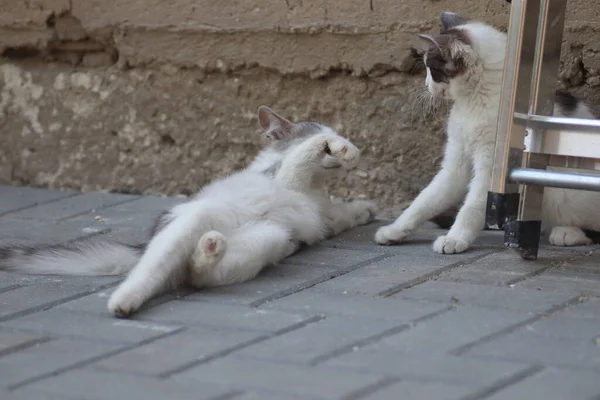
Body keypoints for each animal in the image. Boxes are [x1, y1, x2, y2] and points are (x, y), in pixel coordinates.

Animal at [0, 106, 376, 316]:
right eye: (326, 145)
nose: (337, 155)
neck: (313, 189)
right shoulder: (286, 176)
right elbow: (301, 155)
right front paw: (340, 147)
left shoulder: (324, 214)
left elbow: (342, 213)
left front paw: (365, 208)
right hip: (192, 222)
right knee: (151, 271)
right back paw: (125, 300)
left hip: (272, 236)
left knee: (198, 275)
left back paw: (209, 251)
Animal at [376, 14, 600, 255]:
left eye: (432, 70)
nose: (426, 85)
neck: (472, 102)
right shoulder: (456, 161)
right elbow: (426, 199)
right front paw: (394, 229)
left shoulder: (493, 166)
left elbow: (472, 205)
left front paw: (454, 238)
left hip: (564, 191)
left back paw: (566, 232)